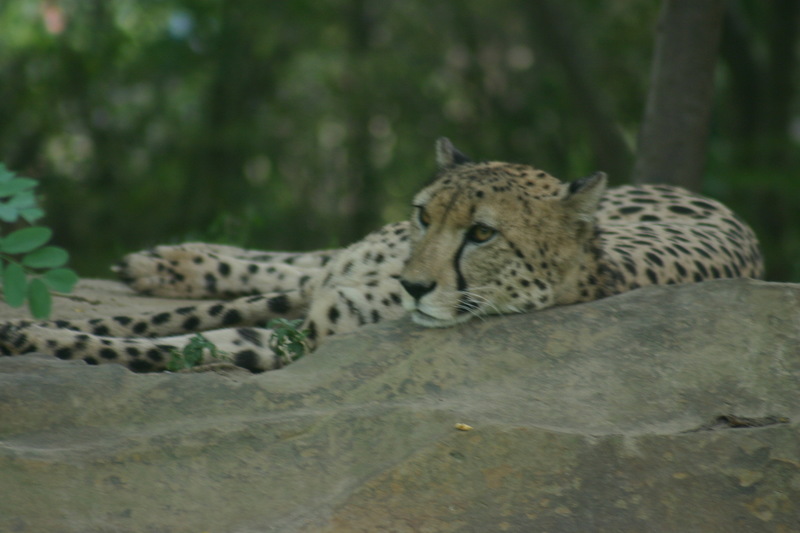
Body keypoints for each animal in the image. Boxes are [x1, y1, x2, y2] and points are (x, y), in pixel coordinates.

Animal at [0, 138, 763, 372]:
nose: (416, 284)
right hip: (342, 261)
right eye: (427, 214)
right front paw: (25, 325)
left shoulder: (300, 338)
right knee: (302, 262)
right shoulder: (319, 304)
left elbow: (149, 345)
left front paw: (31, 336)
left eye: (483, 235)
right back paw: (169, 262)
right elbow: (140, 326)